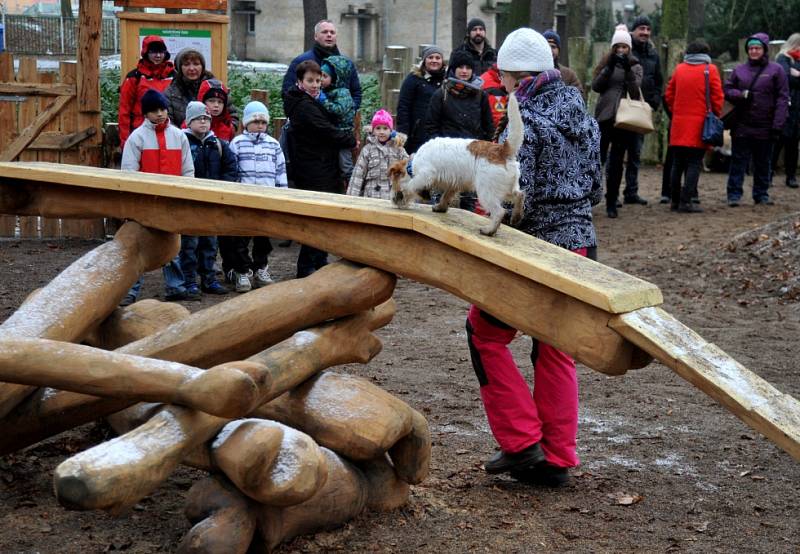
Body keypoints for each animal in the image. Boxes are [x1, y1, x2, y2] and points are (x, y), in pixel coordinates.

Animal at [390, 93, 524, 235]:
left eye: (392, 183)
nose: (393, 199)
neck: (412, 164)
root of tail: (502, 150)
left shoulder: (425, 175)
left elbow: (410, 185)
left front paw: (405, 192)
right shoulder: (453, 184)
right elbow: (445, 196)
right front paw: (441, 207)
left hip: (486, 192)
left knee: (499, 211)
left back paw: (489, 230)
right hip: (506, 189)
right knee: (520, 195)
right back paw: (516, 216)